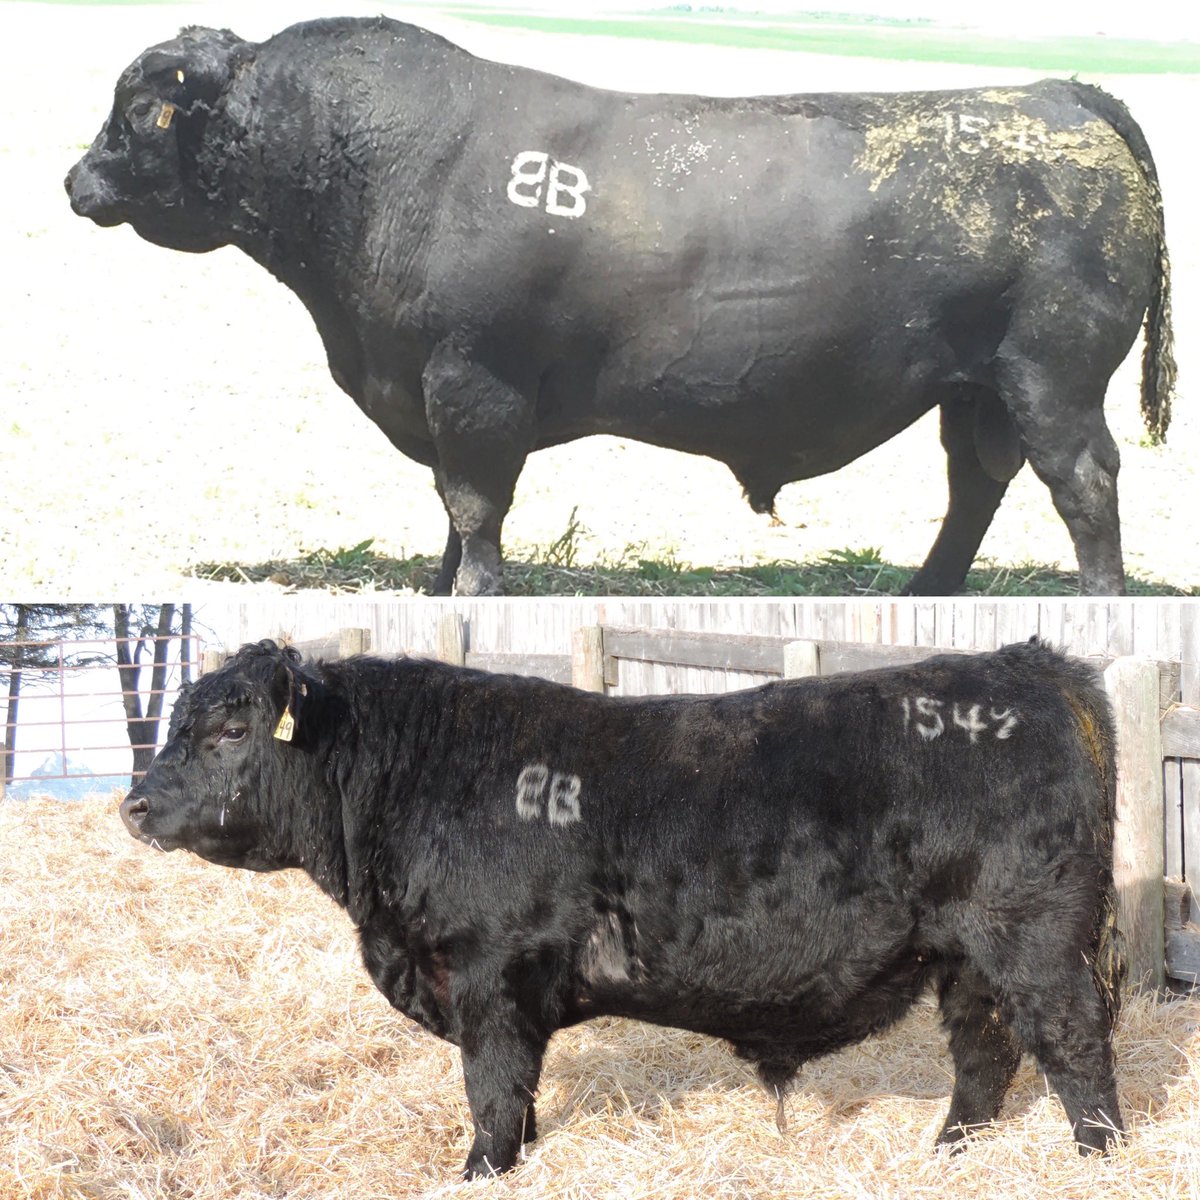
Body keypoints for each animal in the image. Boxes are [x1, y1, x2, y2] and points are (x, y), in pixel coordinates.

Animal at [65, 18, 1174, 597]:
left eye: (136, 107)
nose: (76, 180)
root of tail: (1062, 94)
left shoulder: (471, 383)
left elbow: (476, 504)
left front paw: (475, 596)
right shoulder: (435, 392)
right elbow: (450, 509)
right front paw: (437, 590)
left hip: (1053, 376)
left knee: (1083, 483)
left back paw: (1098, 603)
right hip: (974, 386)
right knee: (975, 484)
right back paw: (924, 596)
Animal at [120, 637, 1125, 1178]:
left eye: (232, 729)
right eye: (179, 723)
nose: (133, 805)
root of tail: (1036, 667)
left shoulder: (489, 975)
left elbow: (493, 1089)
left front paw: (479, 1172)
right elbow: (518, 1093)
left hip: (1033, 940)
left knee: (1073, 1042)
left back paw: (1102, 1158)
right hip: (965, 958)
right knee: (986, 1054)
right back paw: (947, 1153)